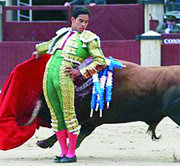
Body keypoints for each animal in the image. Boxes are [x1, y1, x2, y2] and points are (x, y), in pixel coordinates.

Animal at [33, 59, 180, 149]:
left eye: (45, 104)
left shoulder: (85, 118)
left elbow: (68, 129)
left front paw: (44, 143)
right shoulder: (91, 122)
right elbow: (79, 135)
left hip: (175, 115)